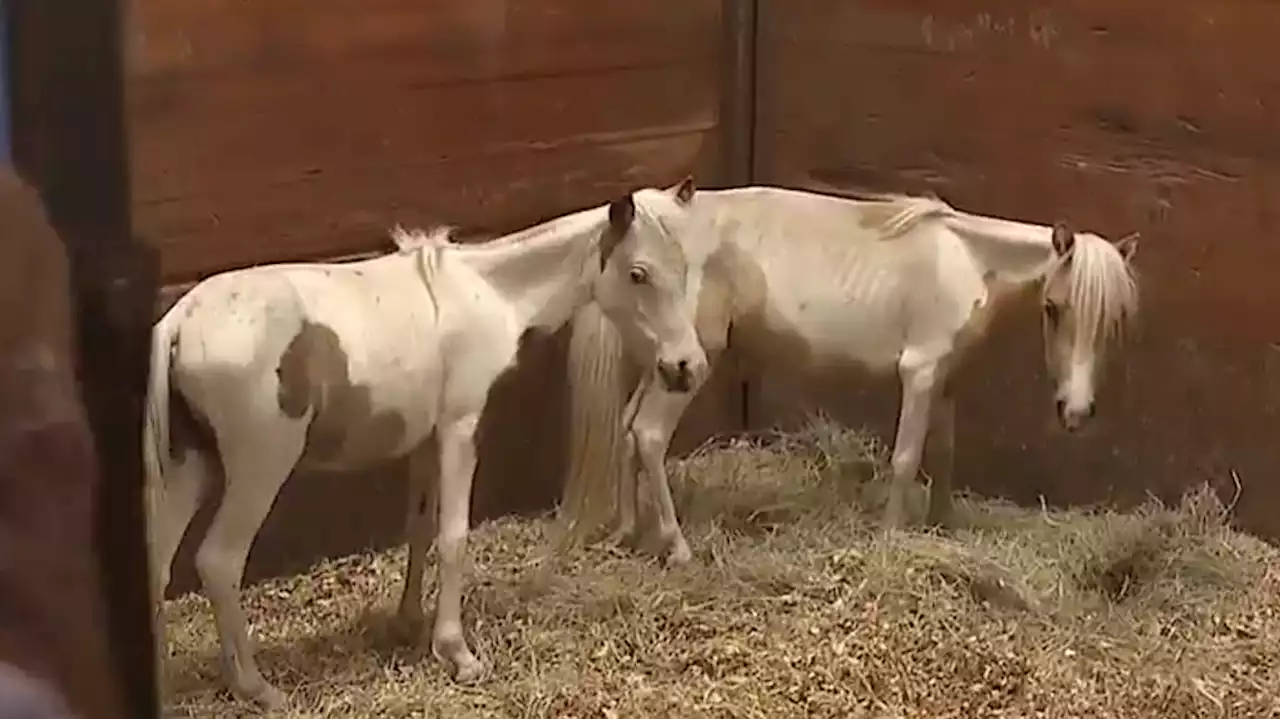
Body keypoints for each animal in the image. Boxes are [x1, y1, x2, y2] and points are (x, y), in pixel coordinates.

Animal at [145, 177, 716, 706]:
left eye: (687, 267)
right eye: (638, 273)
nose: (687, 368)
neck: (488, 294)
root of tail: (179, 321)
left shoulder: (425, 439)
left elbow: (419, 526)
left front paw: (409, 622)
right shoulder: (460, 427)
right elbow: (453, 535)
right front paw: (457, 652)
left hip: (190, 469)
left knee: (158, 565)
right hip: (258, 471)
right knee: (219, 562)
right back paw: (255, 686)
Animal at [560, 185, 1141, 565]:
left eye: (1114, 318)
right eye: (1054, 308)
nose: (1076, 411)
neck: (967, 260)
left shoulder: (946, 378)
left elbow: (944, 452)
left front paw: (944, 526)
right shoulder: (920, 372)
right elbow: (906, 458)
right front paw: (890, 538)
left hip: (664, 365)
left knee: (627, 429)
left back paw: (630, 533)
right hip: (687, 367)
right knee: (648, 434)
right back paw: (677, 549)